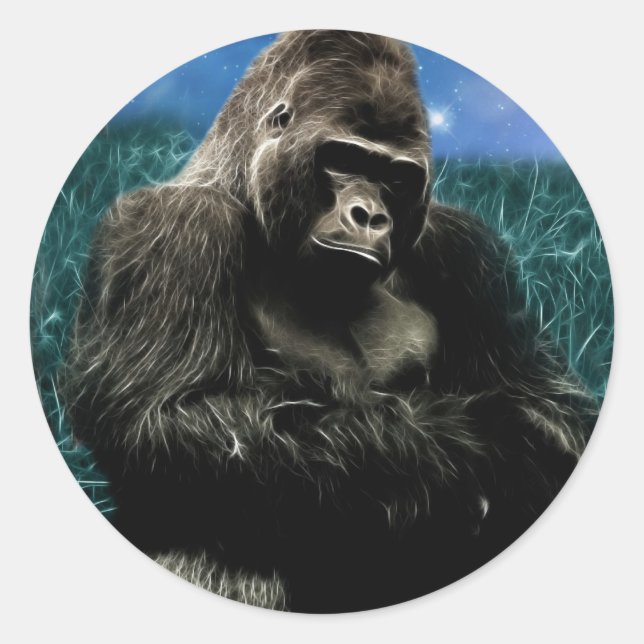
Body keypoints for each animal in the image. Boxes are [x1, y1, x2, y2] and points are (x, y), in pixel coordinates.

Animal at [61, 30, 597, 613]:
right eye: (343, 158)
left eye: (397, 176)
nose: (370, 216)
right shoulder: (174, 227)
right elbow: (168, 423)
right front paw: (476, 442)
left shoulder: (468, 248)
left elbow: (557, 407)